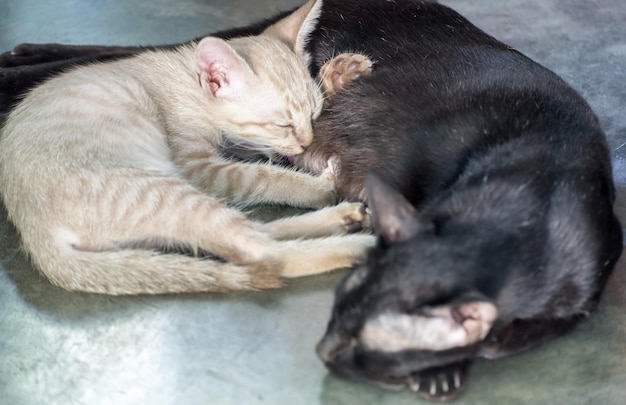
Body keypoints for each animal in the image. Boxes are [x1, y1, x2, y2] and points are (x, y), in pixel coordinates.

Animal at [1, 0, 620, 400]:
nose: (303, 141)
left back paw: (343, 218)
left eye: (308, 116)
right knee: (259, 252)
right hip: (159, 177)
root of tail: (36, 232)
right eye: (282, 120)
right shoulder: (203, 161)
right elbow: (262, 176)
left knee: (251, 240)